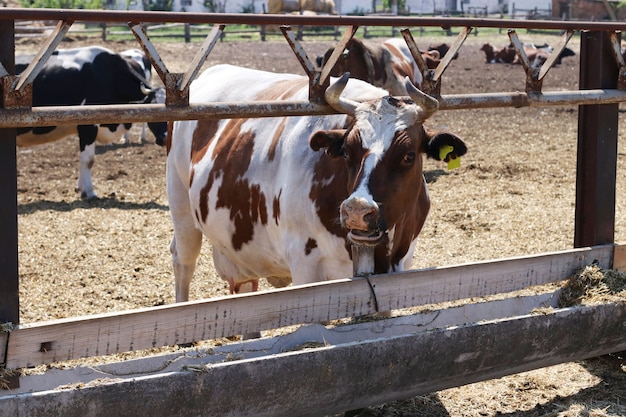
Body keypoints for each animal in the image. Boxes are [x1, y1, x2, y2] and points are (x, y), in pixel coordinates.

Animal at [16, 46, 167, 199]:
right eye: (153, 108)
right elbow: (88, 160)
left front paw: (80, 187)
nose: (165, 138)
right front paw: (89, 192)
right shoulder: (88, 126)